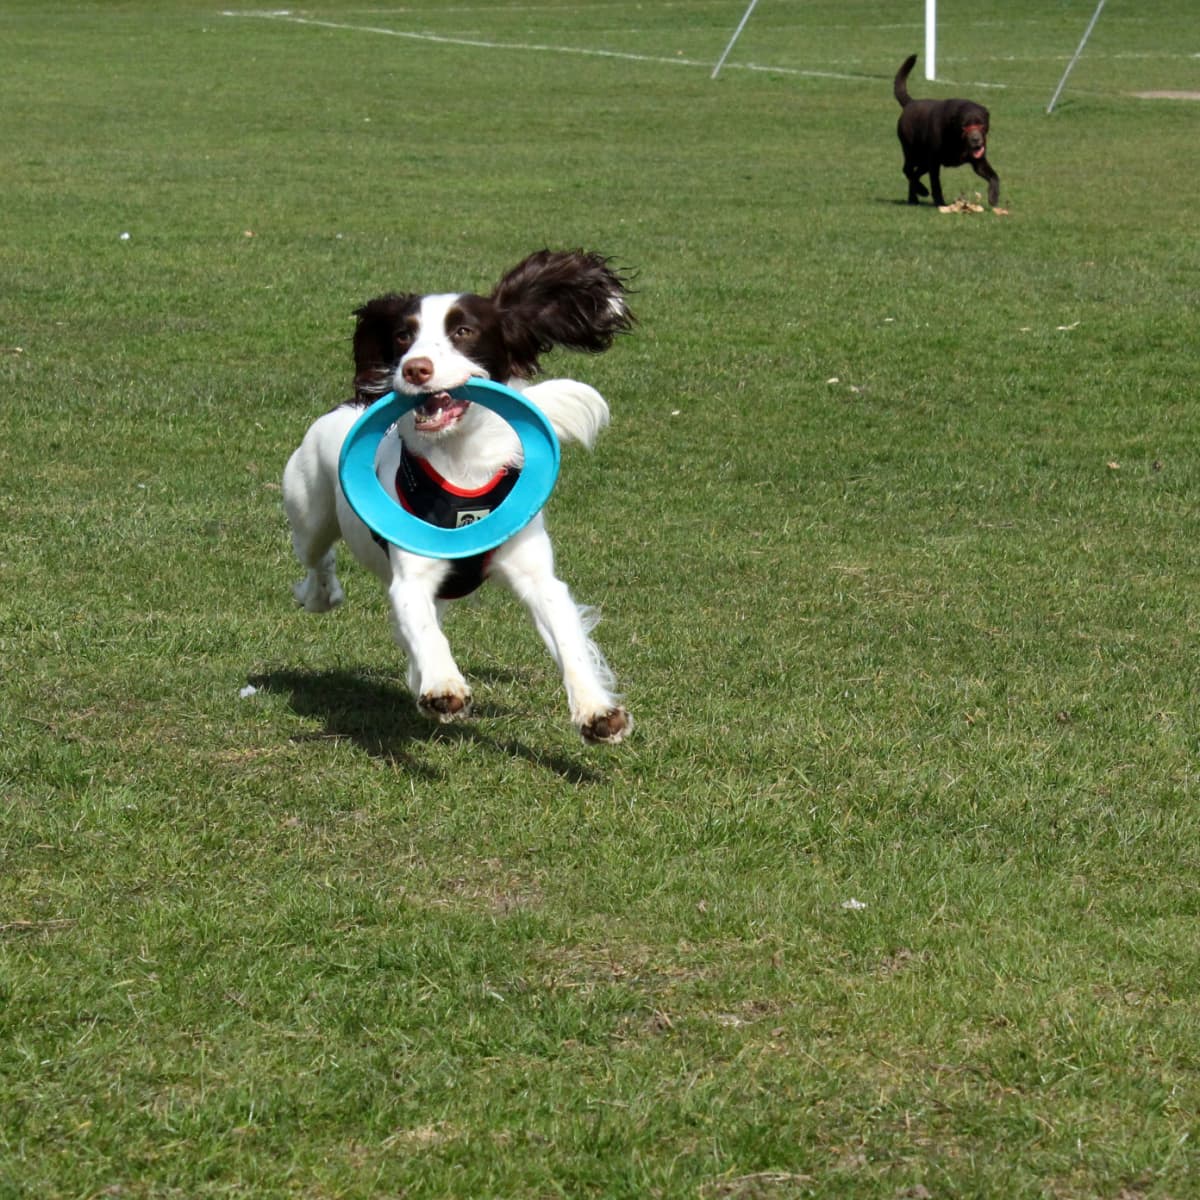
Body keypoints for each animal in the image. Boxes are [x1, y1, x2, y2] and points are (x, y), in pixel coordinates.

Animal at [282, 249, 638, 744]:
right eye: (403, 335)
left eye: (464, 331)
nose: (414, 368)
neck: (462, 463)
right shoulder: (412, 576)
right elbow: (425, 629)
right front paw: (443, 685)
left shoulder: (536, 575)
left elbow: (567, 639)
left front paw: (597, 712)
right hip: (308, 511)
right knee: (318, 561)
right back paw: (322, 596)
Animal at [897, 54, 998, 210]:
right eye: (964, 126)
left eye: (981, 124)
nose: (976, 139)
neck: (957, 139)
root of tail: (910, 103)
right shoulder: (934, 161)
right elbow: (936, 184)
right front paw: (940, 203)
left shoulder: (979, 161)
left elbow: (994, 176)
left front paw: (993, 197)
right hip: (912, 151)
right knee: (908, 170)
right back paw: (921, 191)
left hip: (923, 160)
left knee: (914, 173)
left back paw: (913, 198)